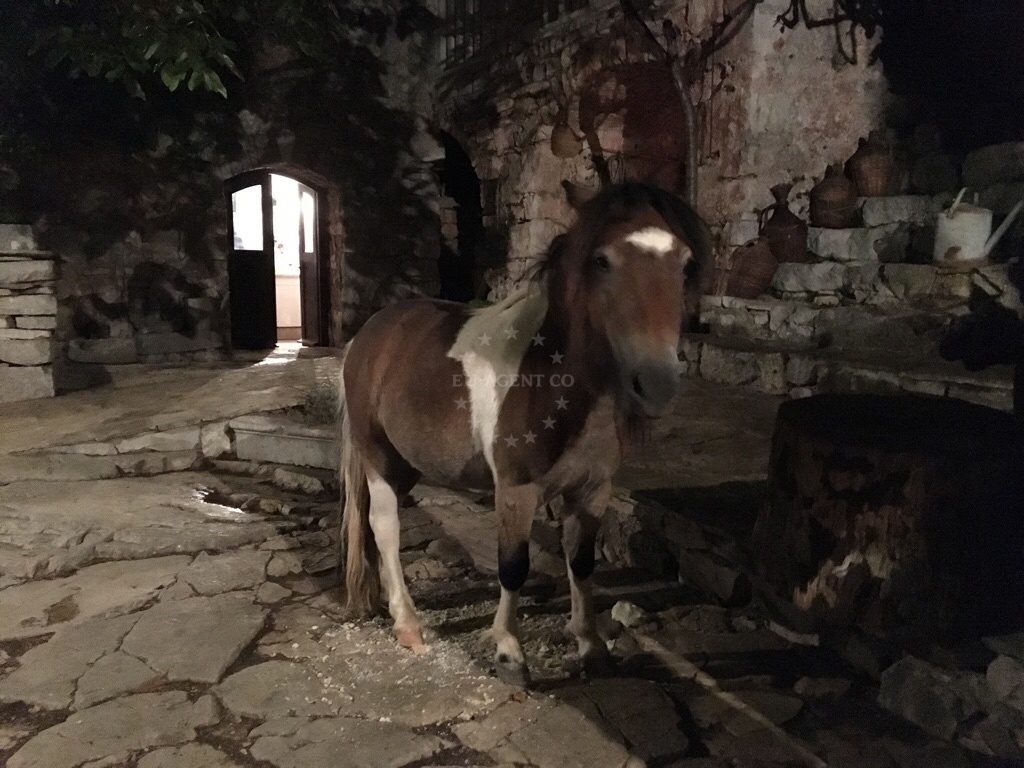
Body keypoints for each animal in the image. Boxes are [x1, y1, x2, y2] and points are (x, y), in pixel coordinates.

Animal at [338, 180, 713, 681]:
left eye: (686, 262)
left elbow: (581, 563)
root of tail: (368, 335)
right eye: (601, 260)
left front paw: (590, 644)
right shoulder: (516, 489)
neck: (551, 377)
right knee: (385, 525)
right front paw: (509, 651)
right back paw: (408, 623)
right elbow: (513, 565)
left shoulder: (592, 489)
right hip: (378, 456)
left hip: (407, 461)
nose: (656, 383)